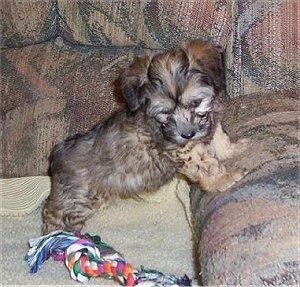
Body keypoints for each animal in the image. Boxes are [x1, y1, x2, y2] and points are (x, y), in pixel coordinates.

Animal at [42, 40, 239, 235]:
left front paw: (232, 150)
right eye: (166, 113)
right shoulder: (181, 149)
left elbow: (218, 137)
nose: (187, 134)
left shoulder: (208, 127)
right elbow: (204, 164)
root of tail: (57, 154)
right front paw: (223, 179)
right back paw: (54, 234)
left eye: (196, 103)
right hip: (82, 199)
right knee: (53, 211)